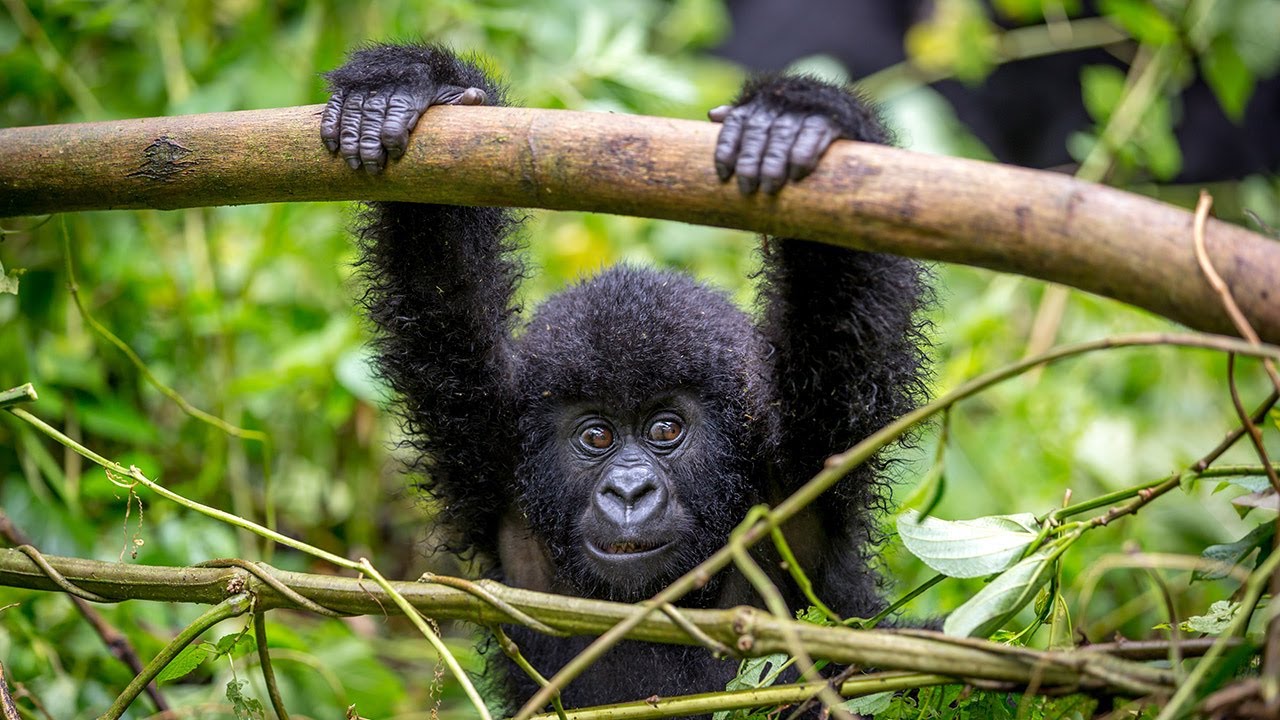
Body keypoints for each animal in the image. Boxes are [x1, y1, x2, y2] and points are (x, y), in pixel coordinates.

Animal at [325, 43, 926, 712]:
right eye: (596, 436)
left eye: (666, 429)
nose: (630, 492)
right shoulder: (488, 447)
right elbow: (440, 284)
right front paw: (407, 88)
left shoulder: (803, 463)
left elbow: (840, 313)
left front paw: (798, 118)